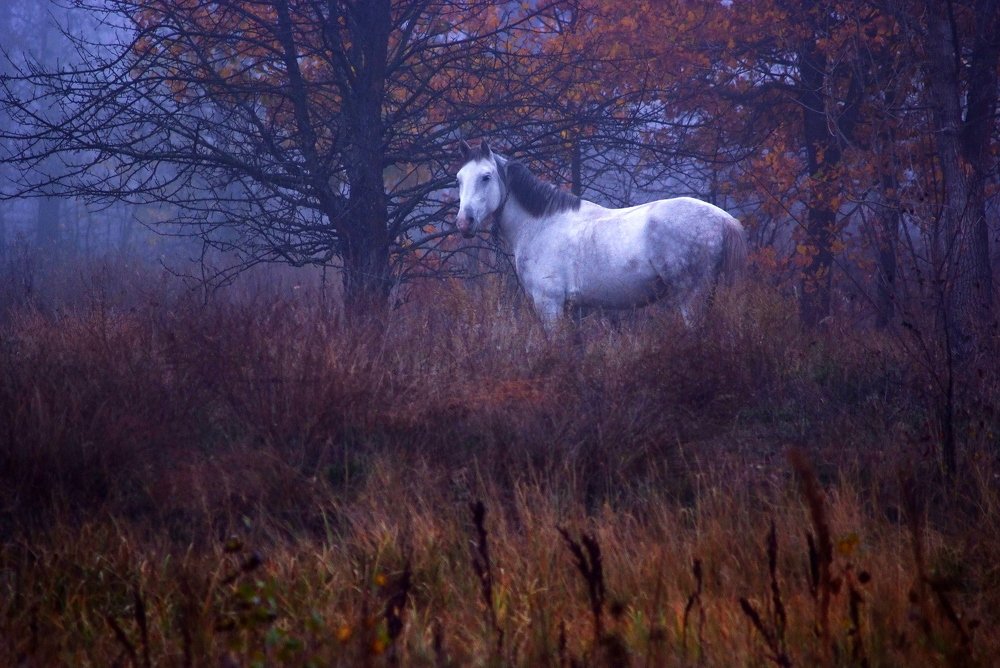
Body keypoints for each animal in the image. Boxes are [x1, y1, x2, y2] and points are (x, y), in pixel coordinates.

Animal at [455, 139, 747, 330]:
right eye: (458, 179)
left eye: (486, 176)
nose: (464, 222)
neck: (540, 225)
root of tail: (723, 219)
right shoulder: (570, 309)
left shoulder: (549, 304)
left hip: (691, 295)